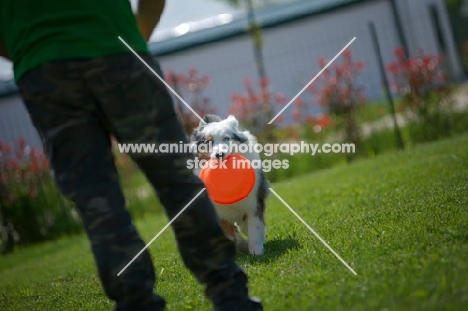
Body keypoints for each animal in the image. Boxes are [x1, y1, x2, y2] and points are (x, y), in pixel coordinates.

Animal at [188, 114, 268, 256]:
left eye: (226, 138)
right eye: (208, 142)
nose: (219, 154)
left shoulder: (254, 202)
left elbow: (255, 227)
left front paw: (256, 251)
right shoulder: (217, 213)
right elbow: (232, 236)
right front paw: (244, 246)